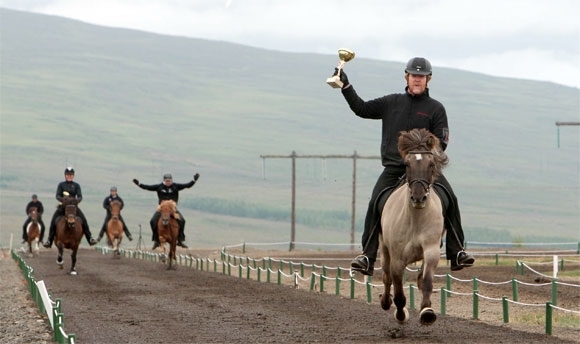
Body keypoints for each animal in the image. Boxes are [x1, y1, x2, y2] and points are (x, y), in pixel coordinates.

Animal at [378, 128, 450, 326]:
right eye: (407, 165)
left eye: (431, 164)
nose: (418, 197)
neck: (416, 219)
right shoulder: (397, 258)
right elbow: (398, 290)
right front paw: (401, 314)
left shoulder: (431, 250)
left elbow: (426, 281)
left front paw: (427, 311)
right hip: (384, 250)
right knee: (386, 276)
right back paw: (385, 302)